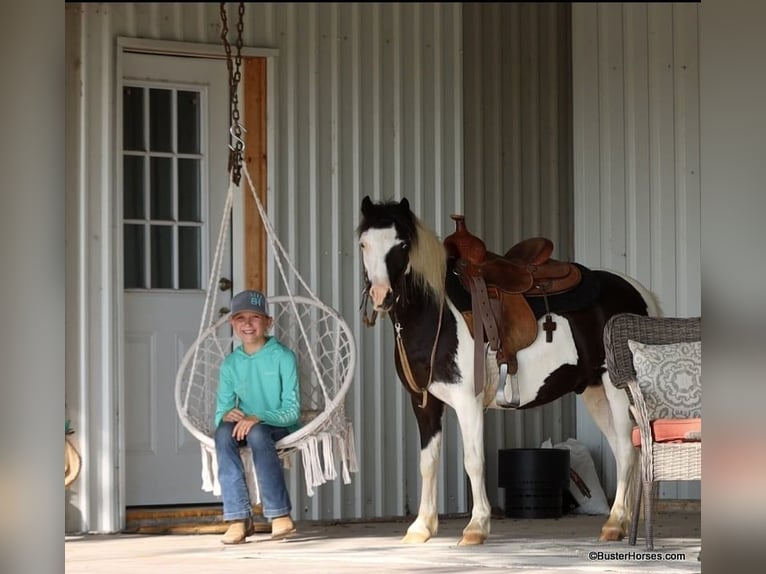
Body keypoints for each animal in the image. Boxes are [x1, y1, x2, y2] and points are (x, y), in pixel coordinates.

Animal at [356, 198, 664, 548]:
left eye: (403, 244)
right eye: (364, 243)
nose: (382, 296)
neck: (437, 316)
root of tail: (639, 292)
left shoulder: (468, 402)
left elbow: (474, 461)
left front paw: (476, 527)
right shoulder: (424, 404)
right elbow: (427, 463)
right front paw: (421, 528)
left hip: (616, 390)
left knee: (626, 450)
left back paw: (613, 524)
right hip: (594, 391)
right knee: (624, 449)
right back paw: (624, 522)